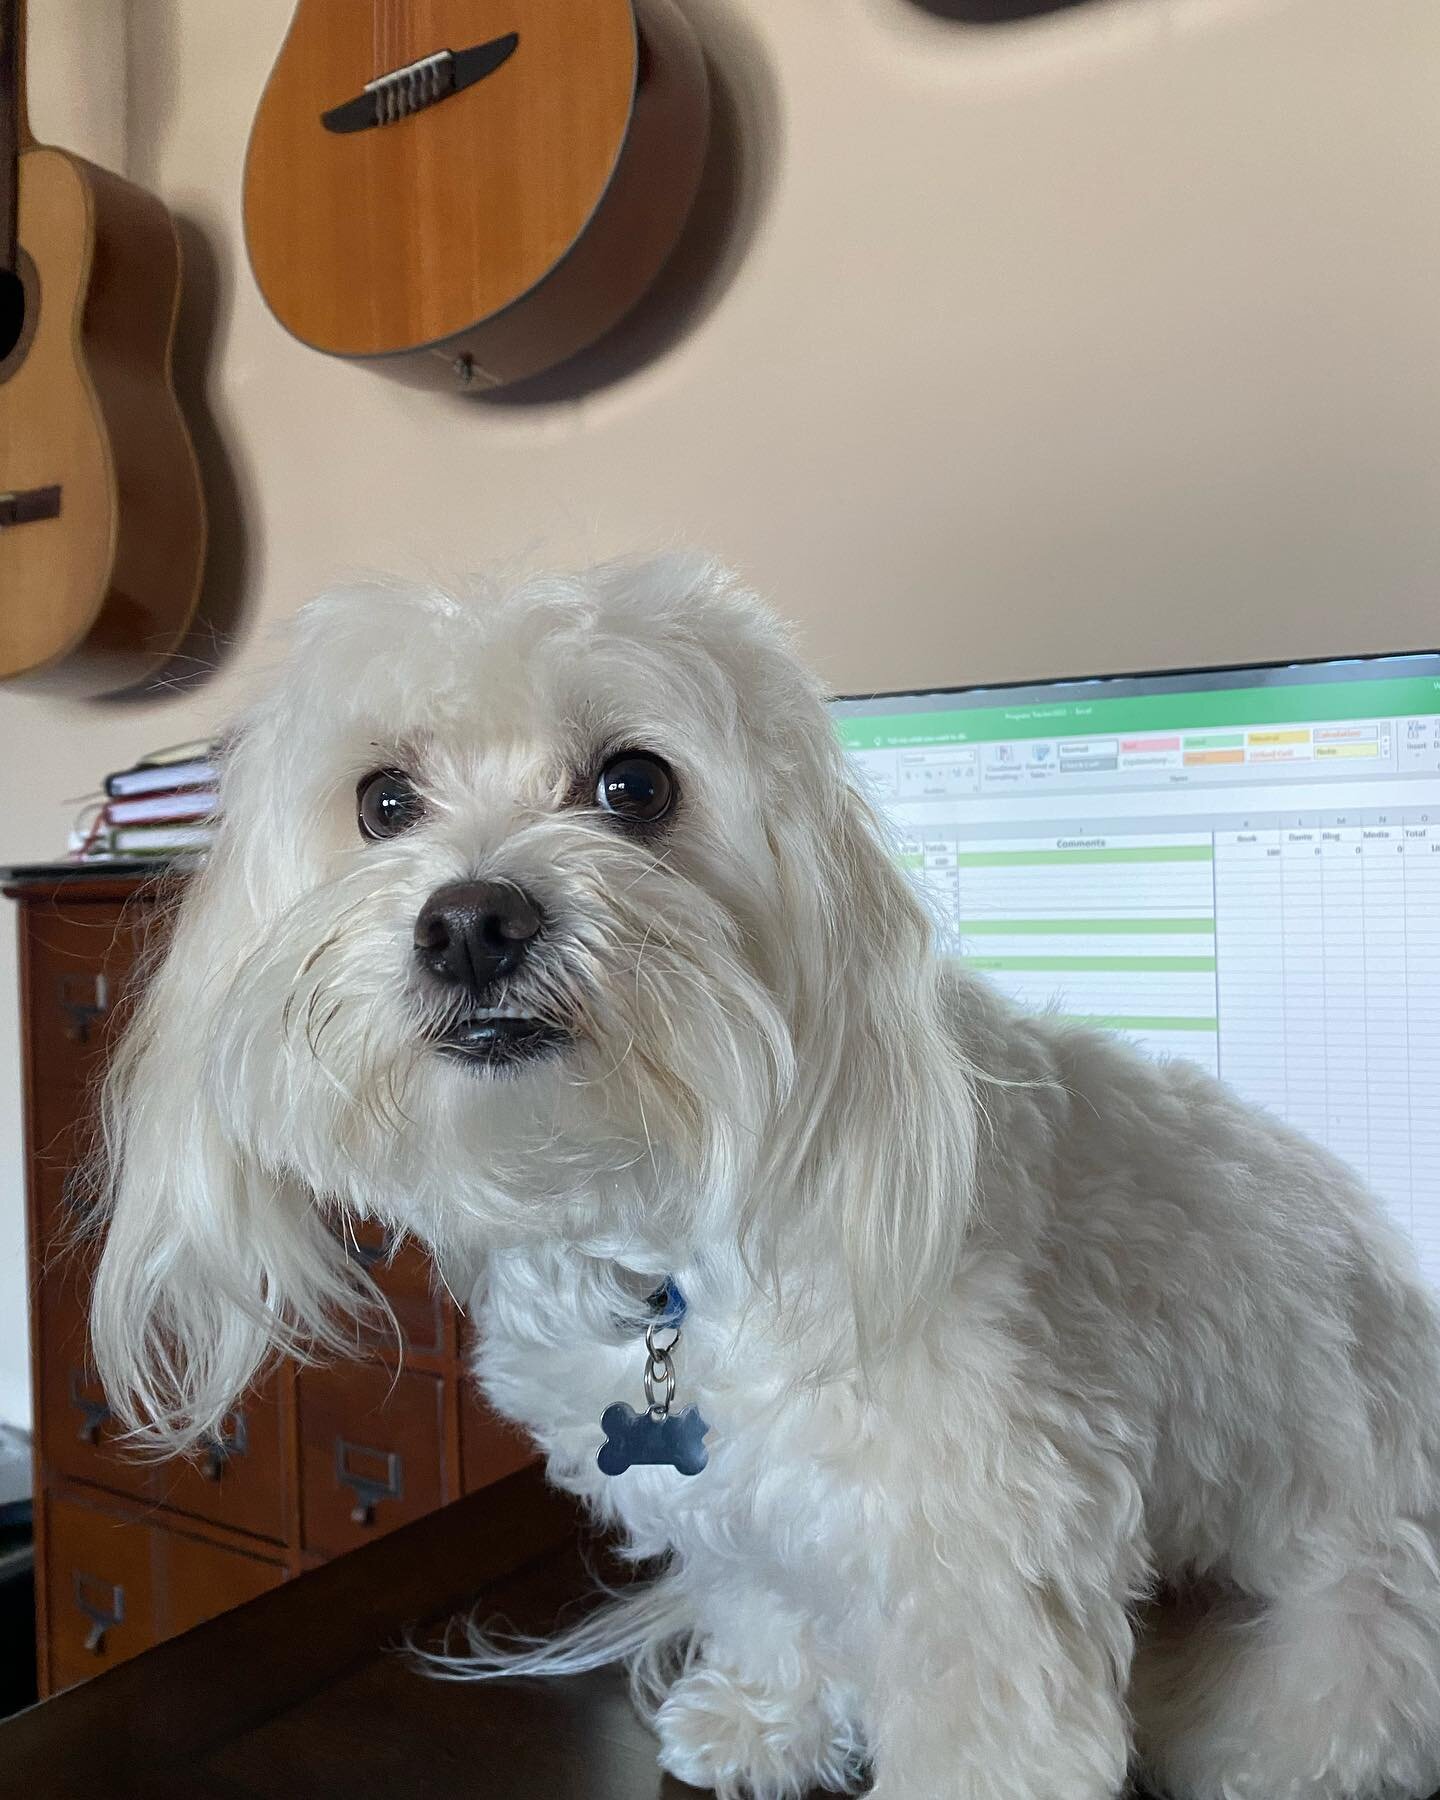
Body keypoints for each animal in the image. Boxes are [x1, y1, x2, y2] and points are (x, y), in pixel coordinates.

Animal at [92, 558, 1440, 1800]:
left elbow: (986, 1726)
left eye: (636, 784)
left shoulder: (985, 1538)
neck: (665, 1238)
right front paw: (767, 1720)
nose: (471, 921)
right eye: (382, 801)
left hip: (1331, 1659)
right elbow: (767, 1596)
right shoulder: (737, 1503)